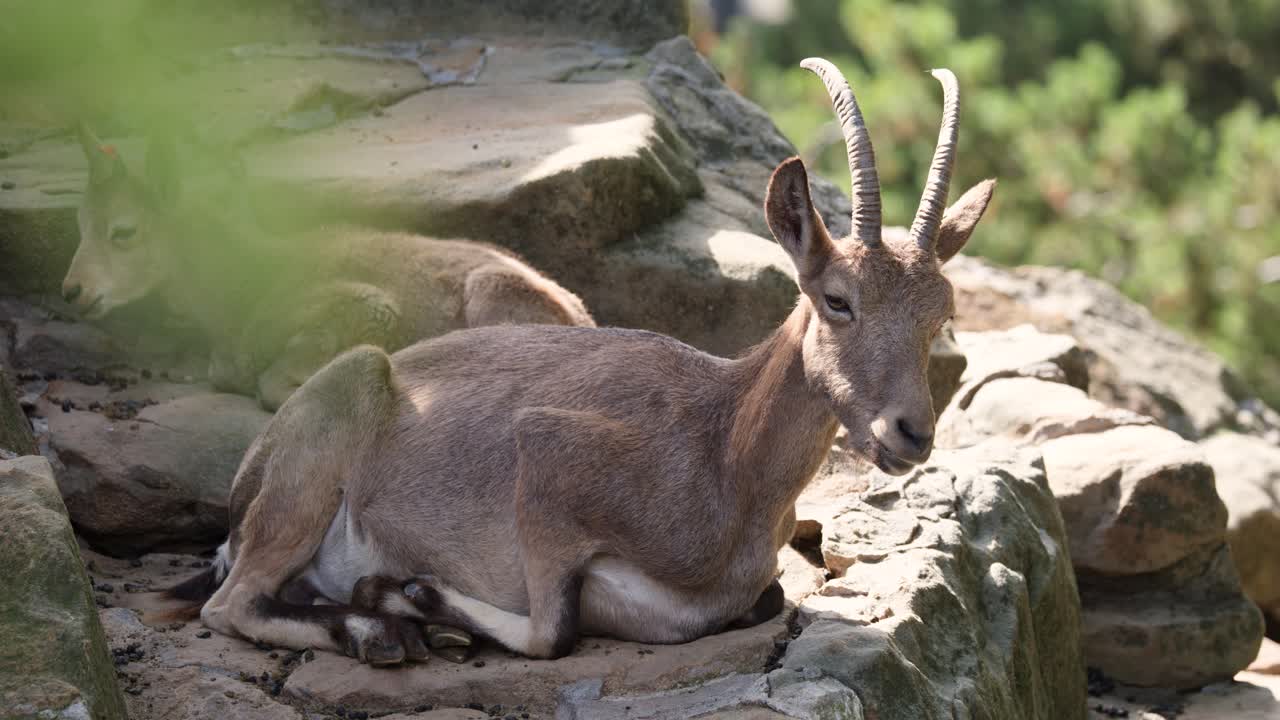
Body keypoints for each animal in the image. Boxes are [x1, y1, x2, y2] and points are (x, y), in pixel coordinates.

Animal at [64, 128, 594, 409]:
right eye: (80, 223)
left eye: (124, 231)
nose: (73, 291)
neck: (241, 286)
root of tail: (585, 316)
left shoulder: (363, 307)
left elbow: (275, 384)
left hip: (493, 293)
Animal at [169, 59, 996, 665]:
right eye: (837, 299)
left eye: (940, 313)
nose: (909, 433)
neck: (725, 455)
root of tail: (244, 490)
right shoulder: (548, 457)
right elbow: (551, 632)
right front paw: (409, 596)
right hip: (326, 438)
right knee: (230, 603)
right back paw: (379, 631)